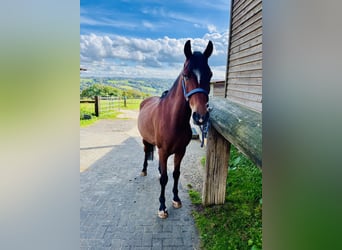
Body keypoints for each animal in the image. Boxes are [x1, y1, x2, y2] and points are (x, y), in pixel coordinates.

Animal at [137, 39, 212, 219]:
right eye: (186, 75)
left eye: (210, 75)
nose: (200, 116)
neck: (172, 121)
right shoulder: (164, 151)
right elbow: (164, 179)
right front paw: (162, 207)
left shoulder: (180, 151)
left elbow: (175, 174)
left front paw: (176, 199)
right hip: (145, 140)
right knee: (145, 152)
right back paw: (143, 170)